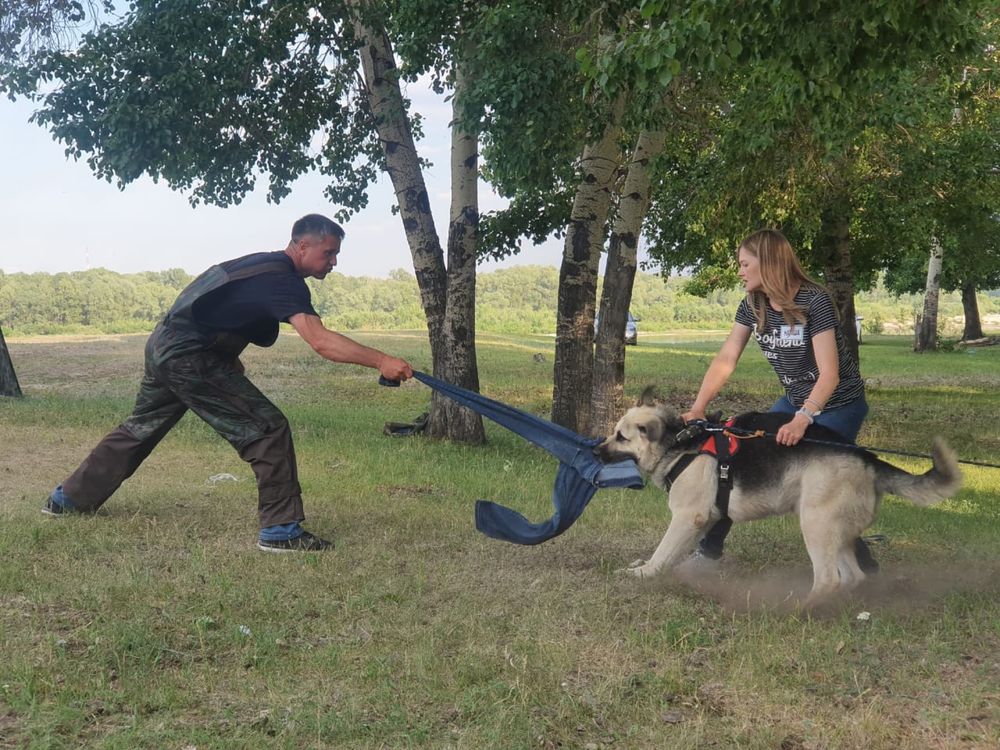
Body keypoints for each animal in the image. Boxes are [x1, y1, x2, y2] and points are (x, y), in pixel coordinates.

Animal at [592, 390, 960, 608]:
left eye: (621, 436)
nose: (595, 450)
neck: (681, 444)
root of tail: (866, 457)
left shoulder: (687, 518)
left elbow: (663, 552)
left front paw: (645, 573)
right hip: (834, 530)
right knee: (851, 576)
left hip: (815, 525)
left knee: (829, 578)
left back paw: (803, 609)